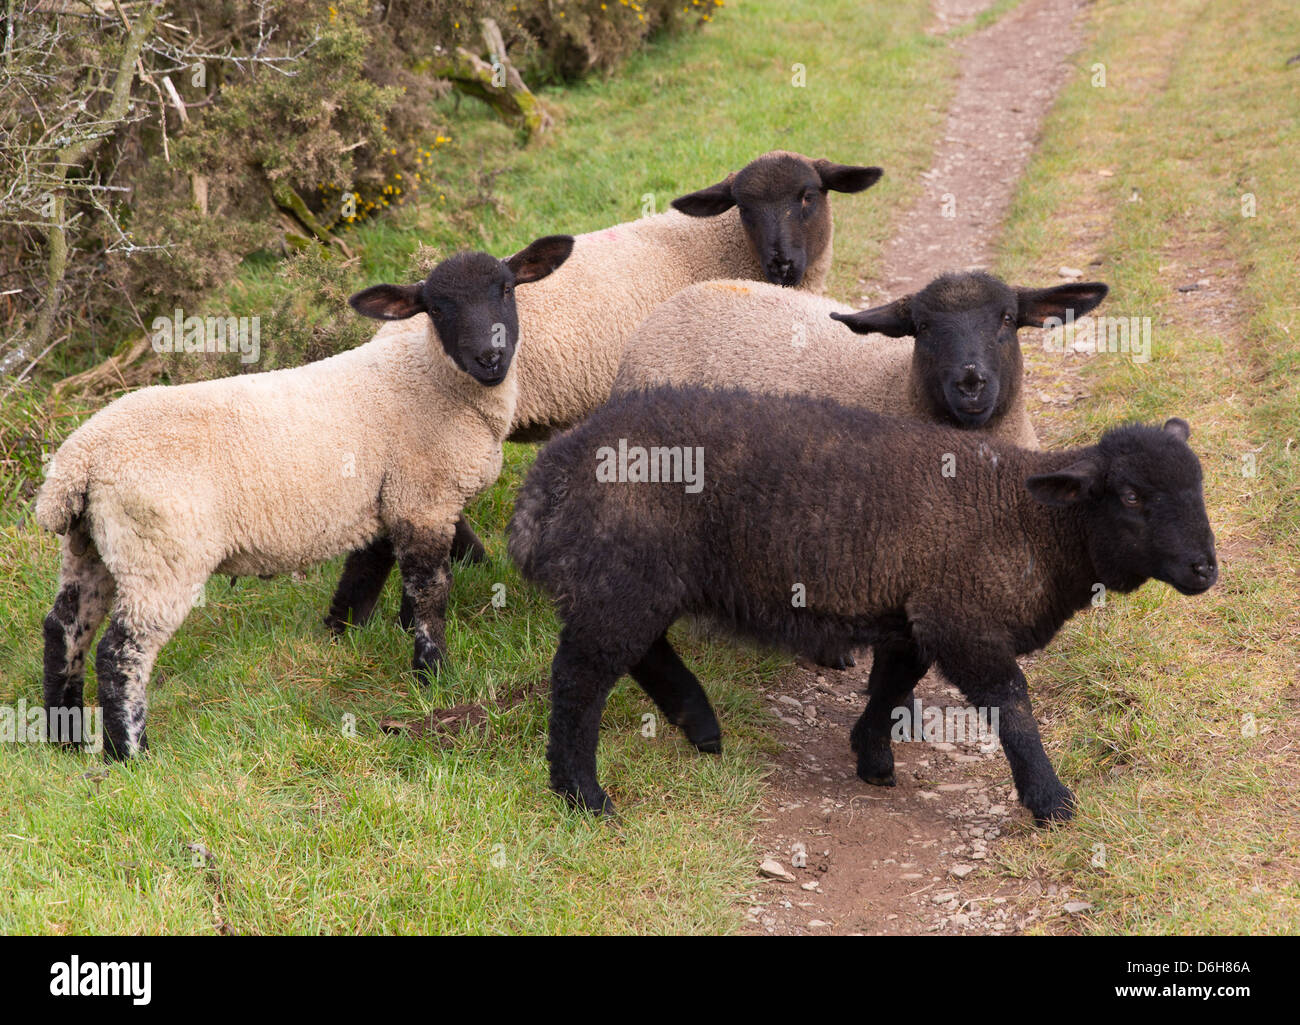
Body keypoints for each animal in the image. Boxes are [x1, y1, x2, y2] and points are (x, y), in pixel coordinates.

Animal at [34, 236, 574, 754]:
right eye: (437, 308)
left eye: (506, 289)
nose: (490, 357)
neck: (433, 380)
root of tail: (81, 459)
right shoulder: (423, 498)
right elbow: (430, 592)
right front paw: (433, 674)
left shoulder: (386, 500)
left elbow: (365, 575)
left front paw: (343, 633)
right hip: (159, 553)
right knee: (121, 652)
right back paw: (129, 753)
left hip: (91, 545)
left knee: (64, 628)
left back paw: (65, 739)